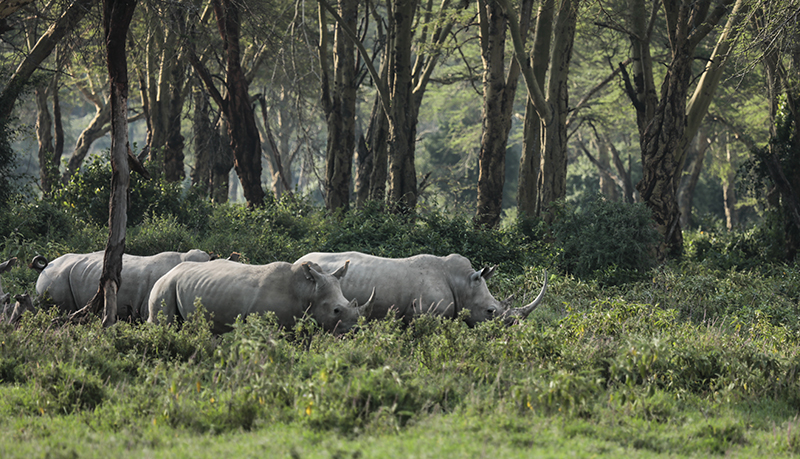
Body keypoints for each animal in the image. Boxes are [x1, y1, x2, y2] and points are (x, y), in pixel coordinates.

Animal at [148, 258, 374, 334]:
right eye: (336, 310)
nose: (355, 332)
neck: (307, 290)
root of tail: (167, 272)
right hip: (164, 286)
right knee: (163, 323)